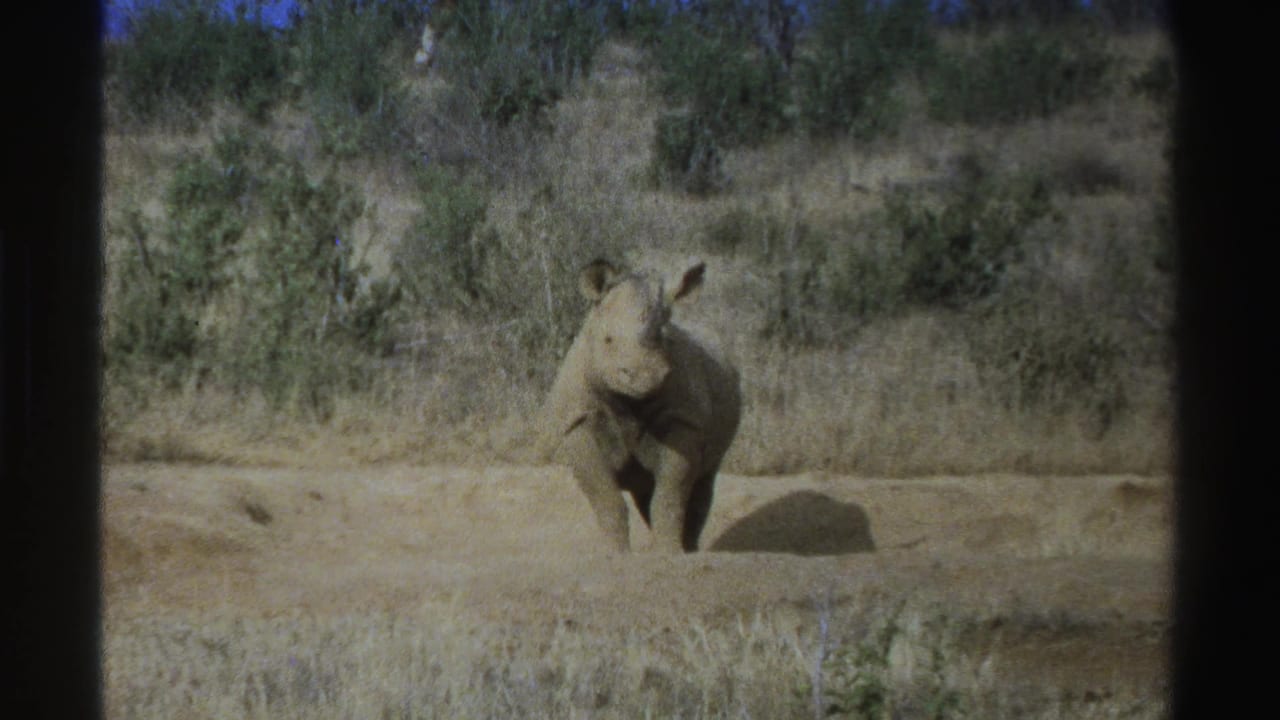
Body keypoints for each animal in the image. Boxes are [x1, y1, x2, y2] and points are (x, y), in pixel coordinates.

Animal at [539, 259, 742, 553]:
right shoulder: (577, 421)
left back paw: (689, 550)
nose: (644, 375)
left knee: (701, 484)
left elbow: (669, 498)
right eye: (608, 340)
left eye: (662, 339)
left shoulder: (684, 419)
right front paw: (616, 555)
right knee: (646, 492)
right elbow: (606, 498)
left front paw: (670, 553)